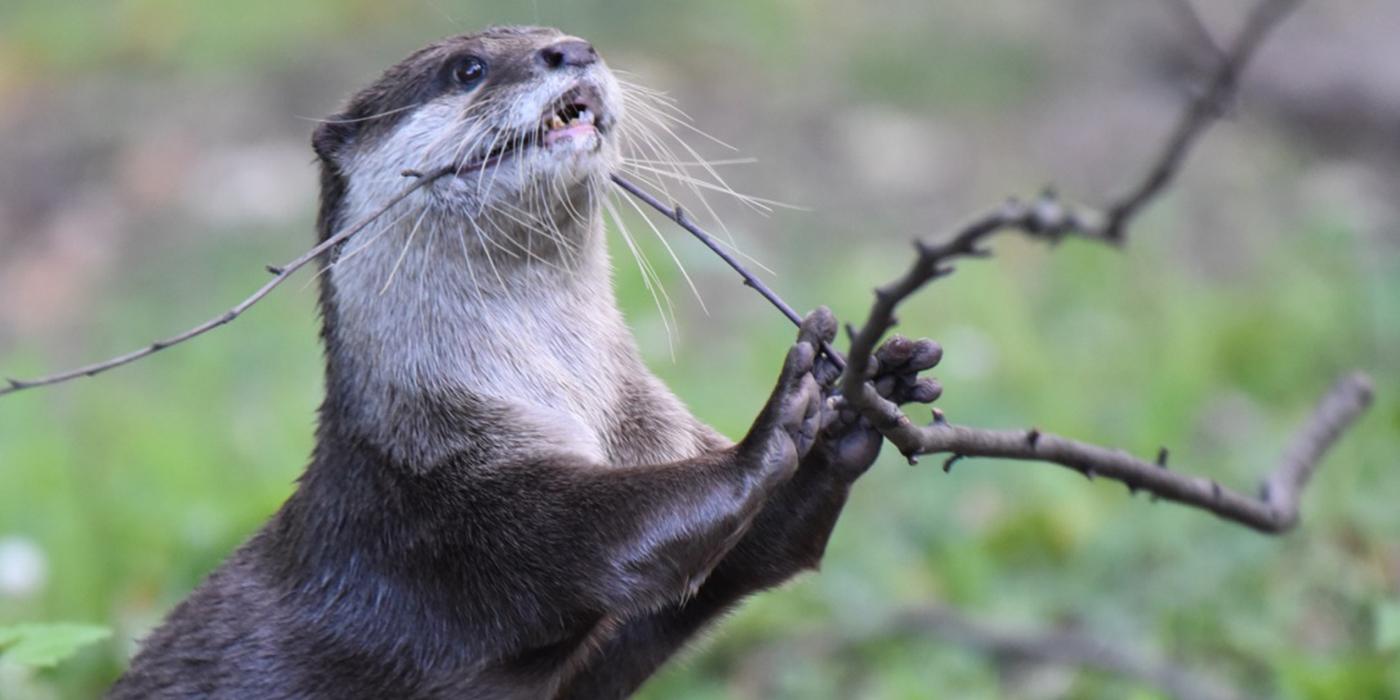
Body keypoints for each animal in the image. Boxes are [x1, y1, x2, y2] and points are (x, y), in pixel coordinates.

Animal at [109, 24, 935, 697]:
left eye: (558, 33)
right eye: (468, 68)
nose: (571, 49)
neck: (559, 394)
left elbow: (756, 557)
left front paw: (862, 392)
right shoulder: (440, 506)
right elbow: (609, 542)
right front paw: (776, 417)